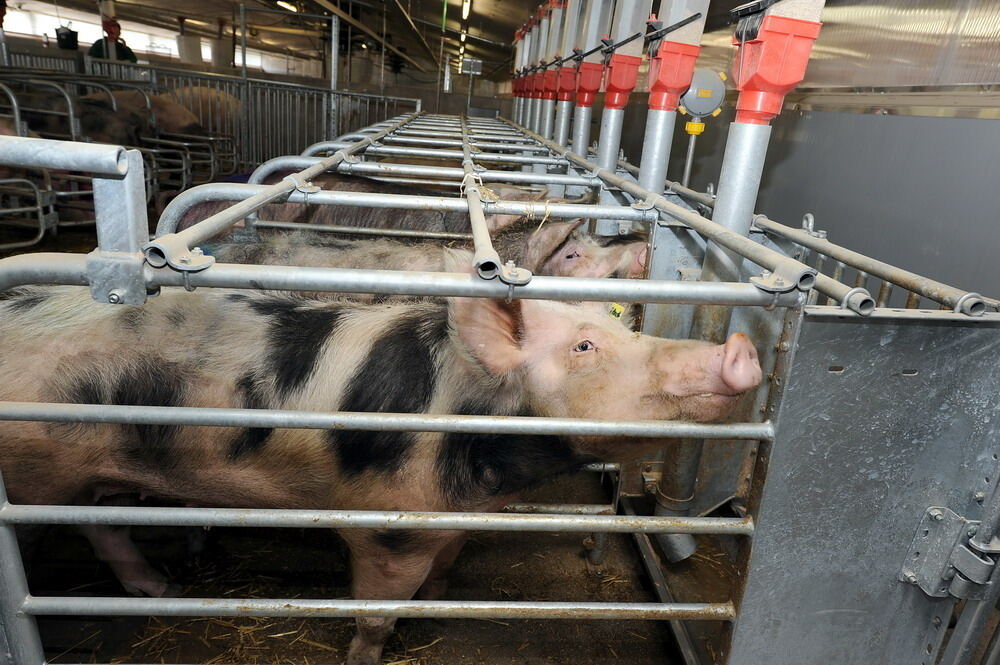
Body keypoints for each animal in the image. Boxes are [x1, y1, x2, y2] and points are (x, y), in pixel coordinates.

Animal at [0, 268, 756, 660]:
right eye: (585, 347)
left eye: (627, 325)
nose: (740, 348)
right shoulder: (385, 524)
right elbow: (375, 608)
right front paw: (370, 650)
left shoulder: (450, 516)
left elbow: (445, 566)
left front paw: (438, 601)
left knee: (101, 524)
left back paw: (160, 587)